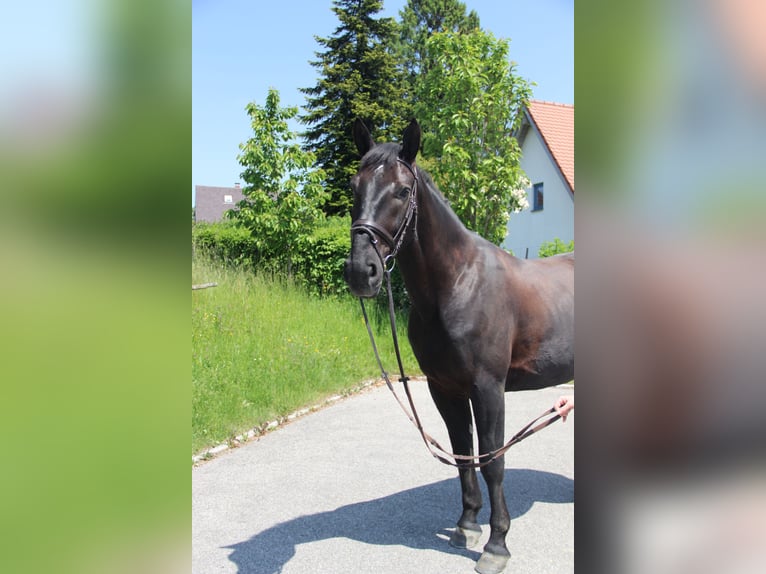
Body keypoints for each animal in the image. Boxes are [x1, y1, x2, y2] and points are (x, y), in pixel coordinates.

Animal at [344, 119, 572, 572]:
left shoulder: (488, 388)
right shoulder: (444, 387)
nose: (362, 271)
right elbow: (463, 453)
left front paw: (497, 544)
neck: (457, 284)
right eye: (354, 186)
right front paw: (467, 525)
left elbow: (493, 460)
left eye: (401, 191)